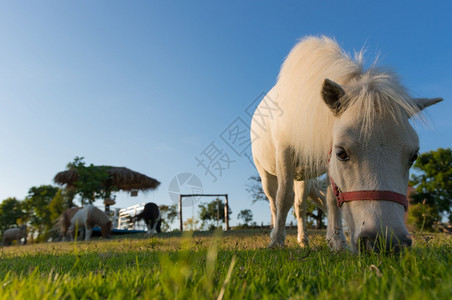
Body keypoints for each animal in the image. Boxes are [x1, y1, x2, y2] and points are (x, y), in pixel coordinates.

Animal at [252, 35, 444, 251]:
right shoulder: (285, 153)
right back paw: (276, 234)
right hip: (267, 173)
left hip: (302, 177)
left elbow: (330, 199)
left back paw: (303, 240)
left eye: (413, 156)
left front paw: (337, 242)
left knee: (300, 206)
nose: (386, 242)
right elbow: (284, 198)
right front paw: (277, 241)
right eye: (341, 153)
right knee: (274, 202)